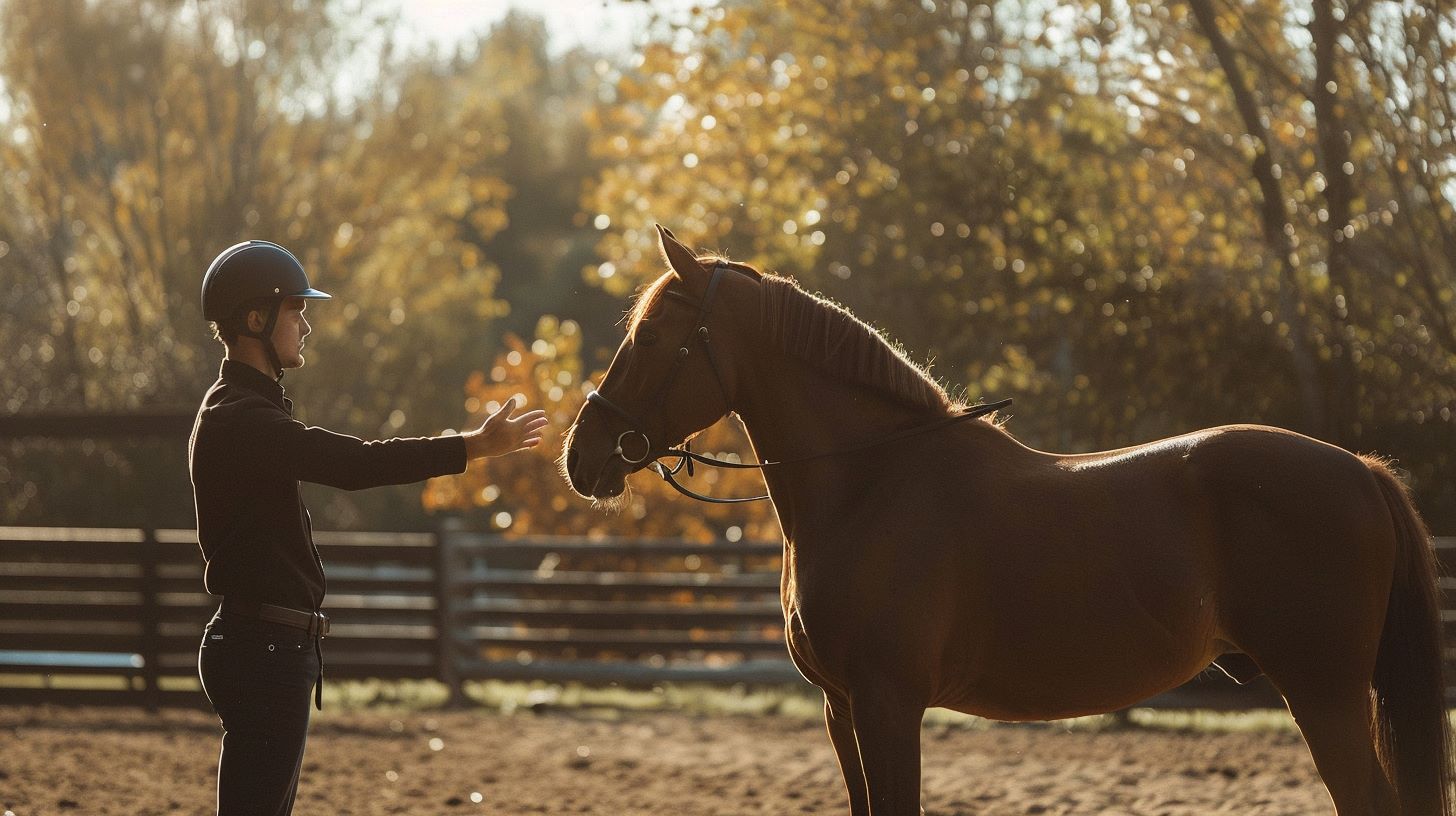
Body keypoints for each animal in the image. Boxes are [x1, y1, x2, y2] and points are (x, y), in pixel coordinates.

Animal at [562, 225, 1450, 816]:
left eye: (653, 336)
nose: (583, 453)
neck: (871, 482)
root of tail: (1361, 470)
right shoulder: (842, 708)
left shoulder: (888, 704)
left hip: (1325, 695)